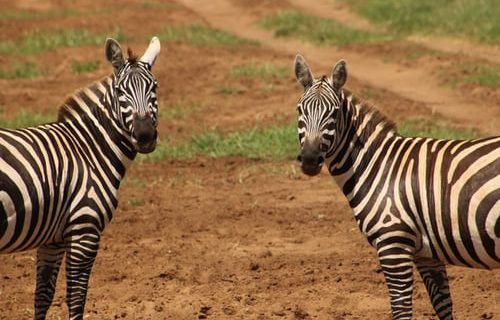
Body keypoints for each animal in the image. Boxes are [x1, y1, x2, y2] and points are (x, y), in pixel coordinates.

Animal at [0, 36, 160, 318]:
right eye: (121, 93)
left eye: (154, 87)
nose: (145, 136)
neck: (88, 150)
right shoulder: (85, 229)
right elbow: (77, 297)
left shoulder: (52, 239)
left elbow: (43, 294)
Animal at [292, 53, 500, 318]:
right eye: (300, 109)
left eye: (335, 113)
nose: (309, 159)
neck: (379, 165)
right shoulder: (427, 253)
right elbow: (443, 303)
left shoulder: (393, 244)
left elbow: (401, 308)